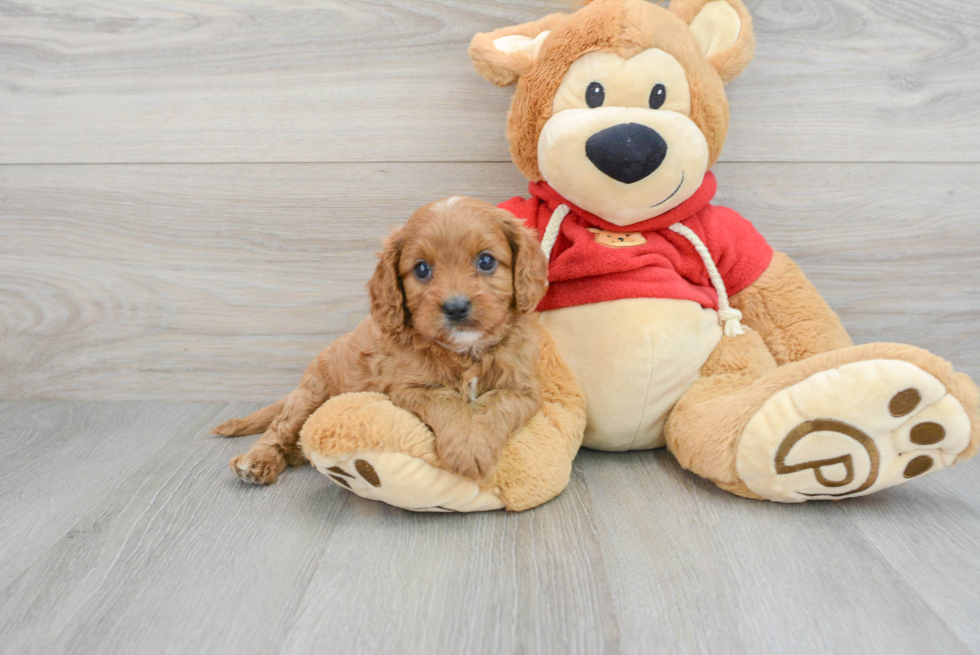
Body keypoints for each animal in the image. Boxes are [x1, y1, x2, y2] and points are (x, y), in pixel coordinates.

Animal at [216, 195, 552, 482]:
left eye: (486, 261)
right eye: (421, 269)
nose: (456, 307)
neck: (464, 351)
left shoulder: (523, 390)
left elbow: (498, 407)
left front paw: (476, 447)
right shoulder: (411, 389)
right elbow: (448, 404)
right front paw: (465, 448)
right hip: (310, 393)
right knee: (278, 429)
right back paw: (256, 461)